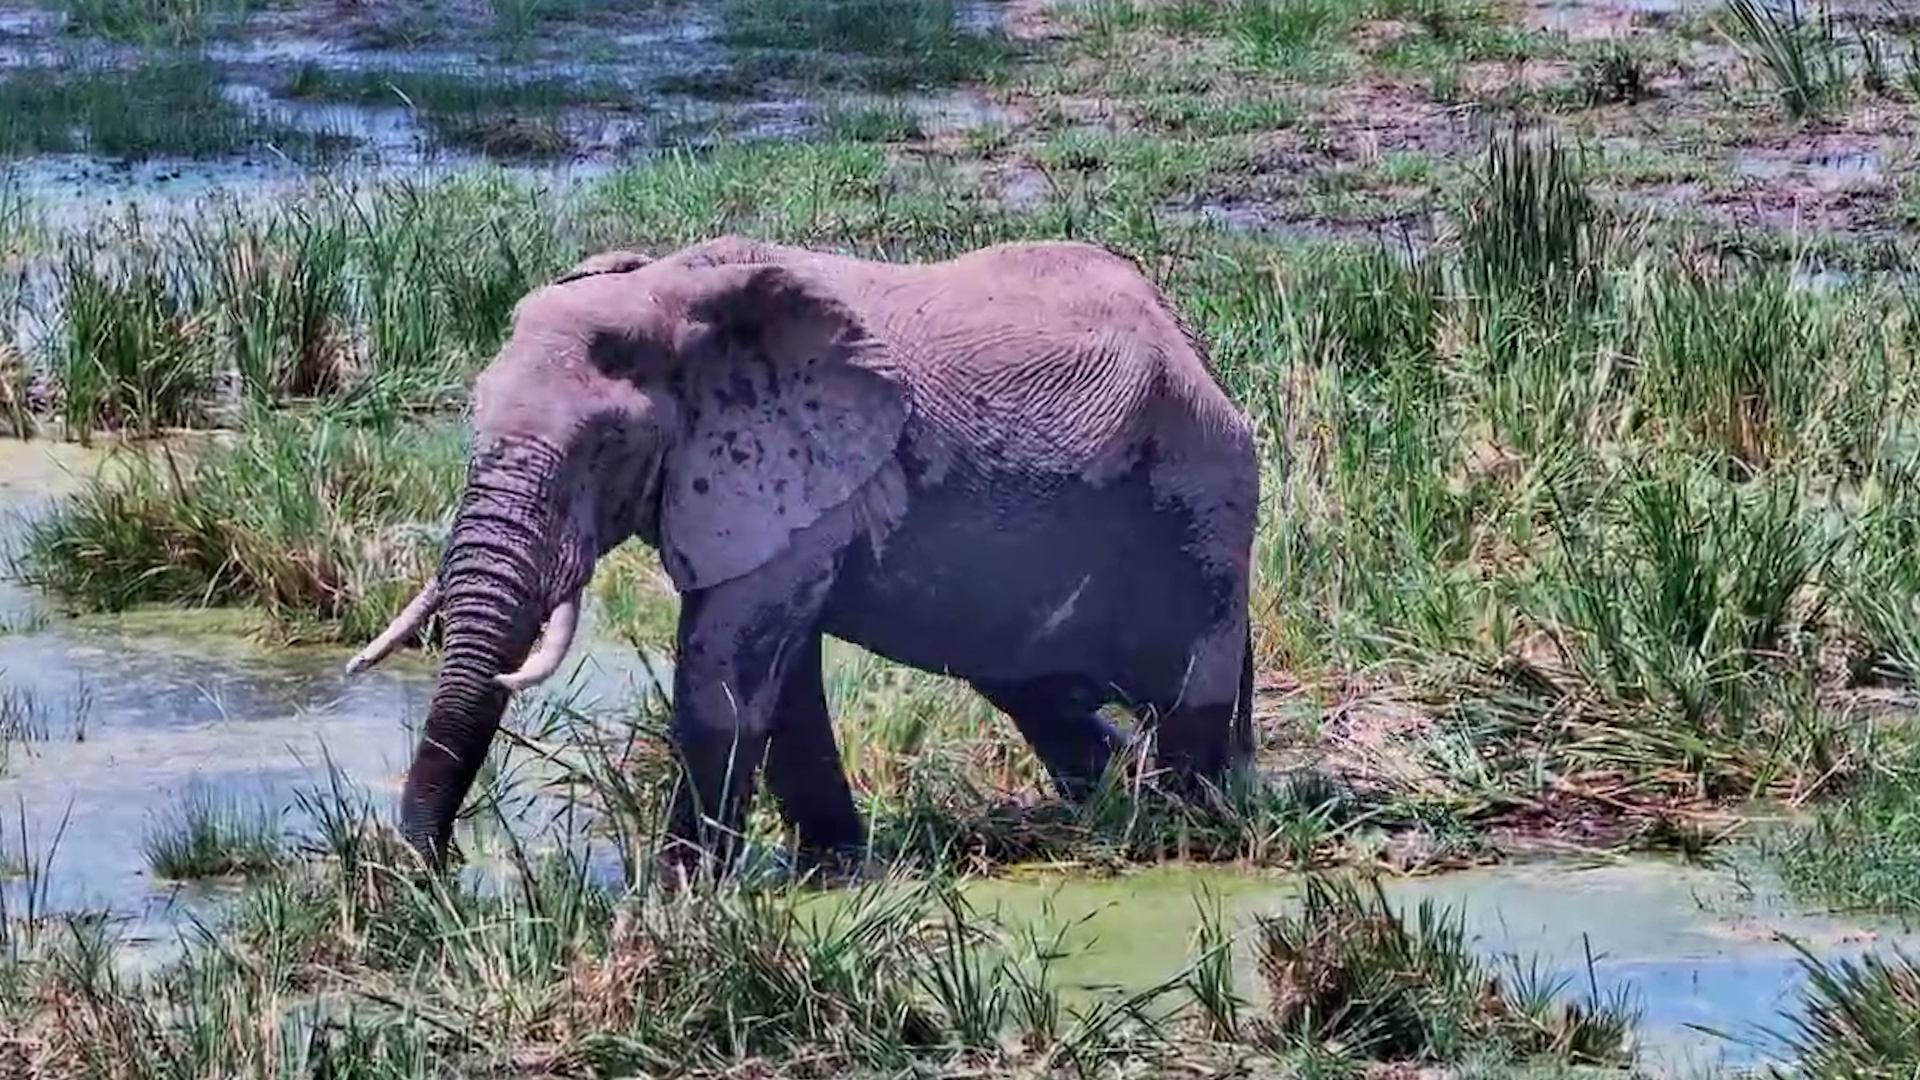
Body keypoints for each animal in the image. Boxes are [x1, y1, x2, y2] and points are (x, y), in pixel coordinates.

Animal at [344, 233, 1262, 876]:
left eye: (604, 447)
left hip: (1200, 496)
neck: (666, 290)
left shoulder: (792, 469)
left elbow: (724, 670)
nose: (433, 875)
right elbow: (780, 684)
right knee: (1036, 695)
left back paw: (1184, 828)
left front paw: (676, 897)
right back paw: (1108, 811)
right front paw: (833, 872)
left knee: (1186, 688)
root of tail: (1192, 341)